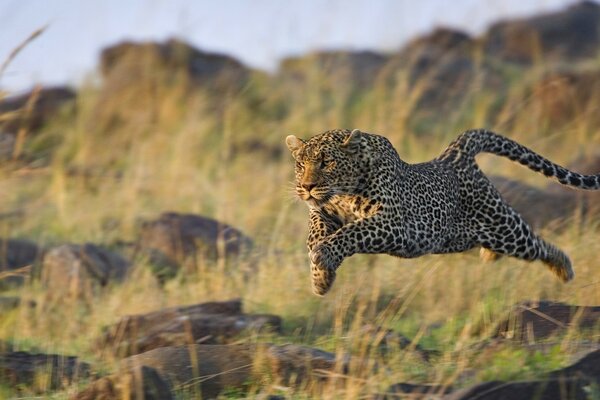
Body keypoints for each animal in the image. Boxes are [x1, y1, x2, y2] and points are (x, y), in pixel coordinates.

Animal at [286, 130, 600, 296]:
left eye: (326, 162)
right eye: (300, 165)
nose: (307, 186)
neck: (345, 190)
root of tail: (454, 154)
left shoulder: (393, 224)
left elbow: (353, 232)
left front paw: (325, 255)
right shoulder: (325, 211)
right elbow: (315, 228)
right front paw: (321, 276)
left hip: (504, 228)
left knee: (537, 244)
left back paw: (564, 268)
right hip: (461, 238)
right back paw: (491, 256)